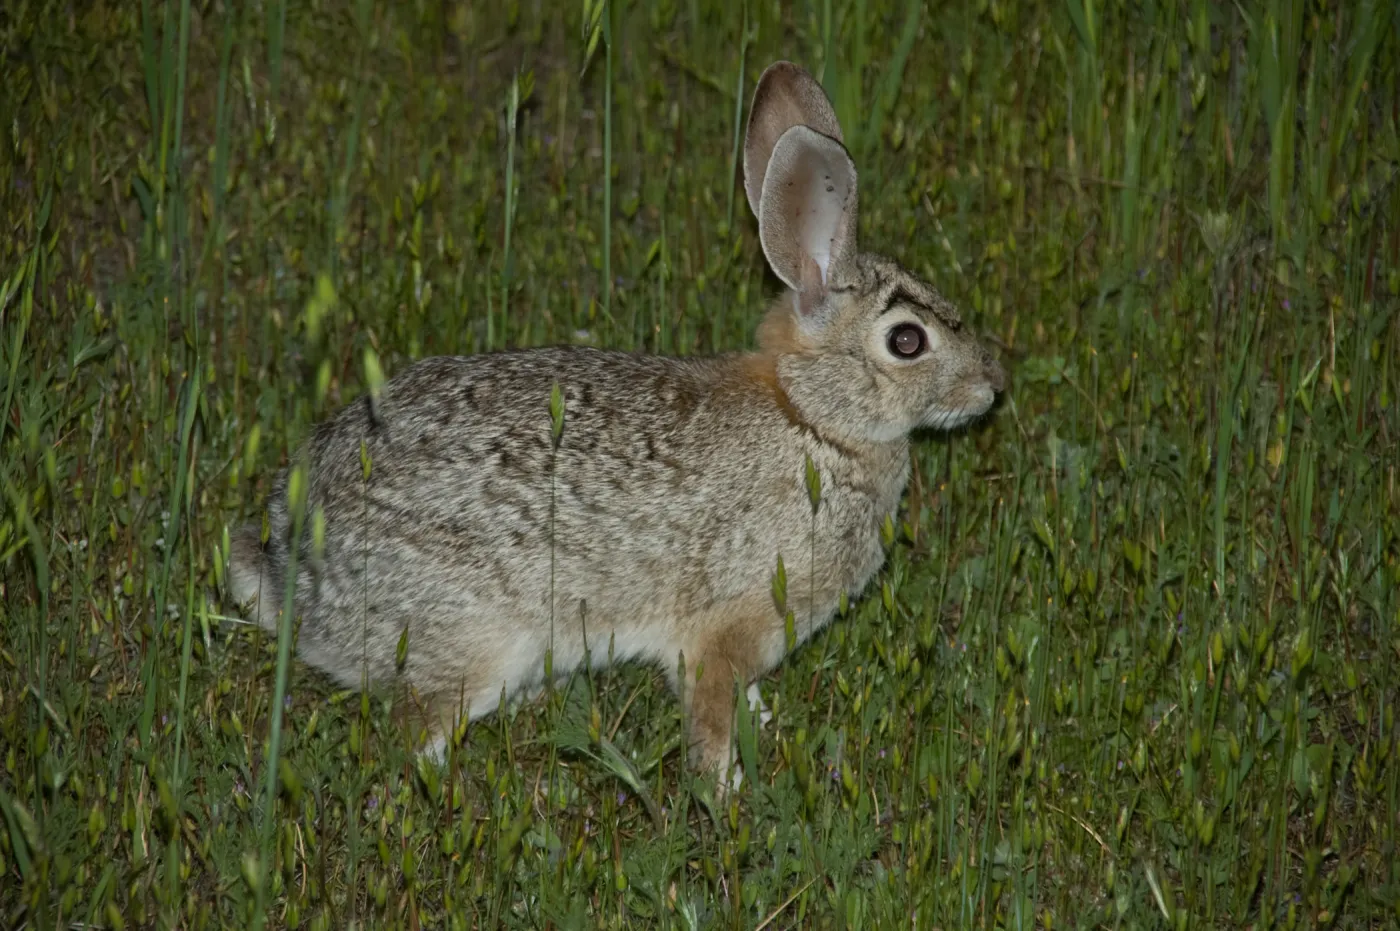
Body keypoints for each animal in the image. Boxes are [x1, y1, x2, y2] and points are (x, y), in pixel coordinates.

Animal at [227, 60, 1006, 788]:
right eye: (907, 341)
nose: (992, 385)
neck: (814, 420)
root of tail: (299, 577)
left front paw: (762, 727)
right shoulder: (725, 628)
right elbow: (711, 709)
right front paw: (729, 792)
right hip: (469, 641)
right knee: (411, 734)